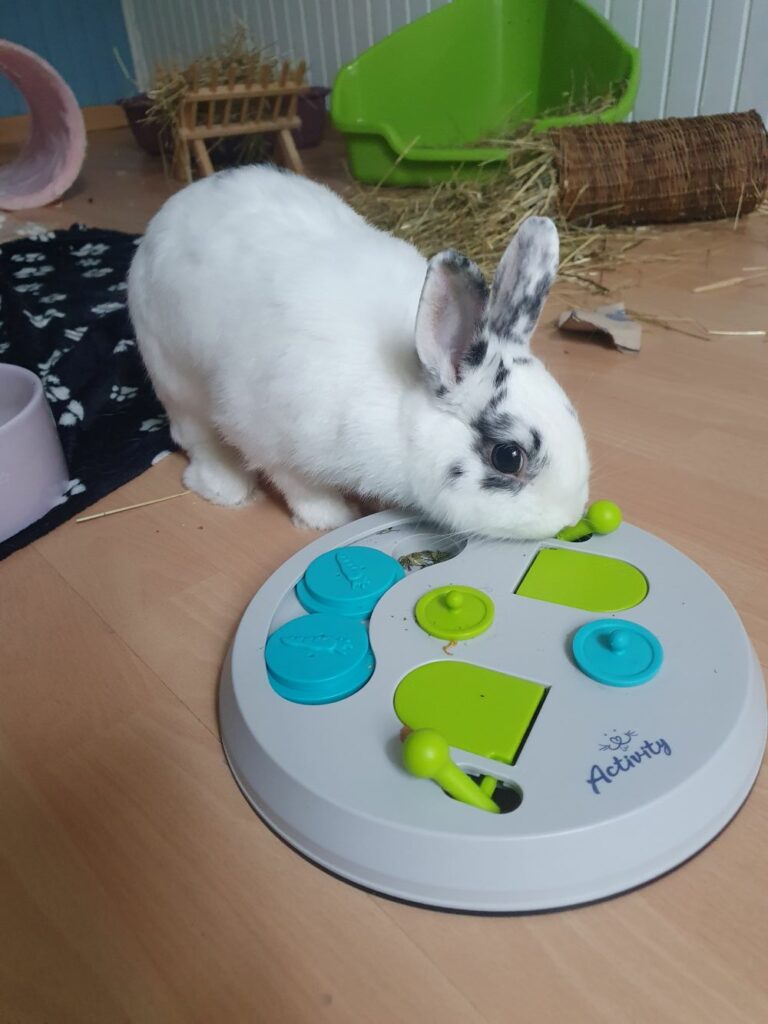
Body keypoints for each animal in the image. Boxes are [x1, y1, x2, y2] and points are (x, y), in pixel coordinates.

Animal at [127, 165, 589, 541]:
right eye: (508, 457)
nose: (567, 519)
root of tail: (172, 208)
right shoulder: (270, 436)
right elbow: (300, 485)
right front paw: (334, 517)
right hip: (174, 374)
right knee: (194, 435)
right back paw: (225, 489)